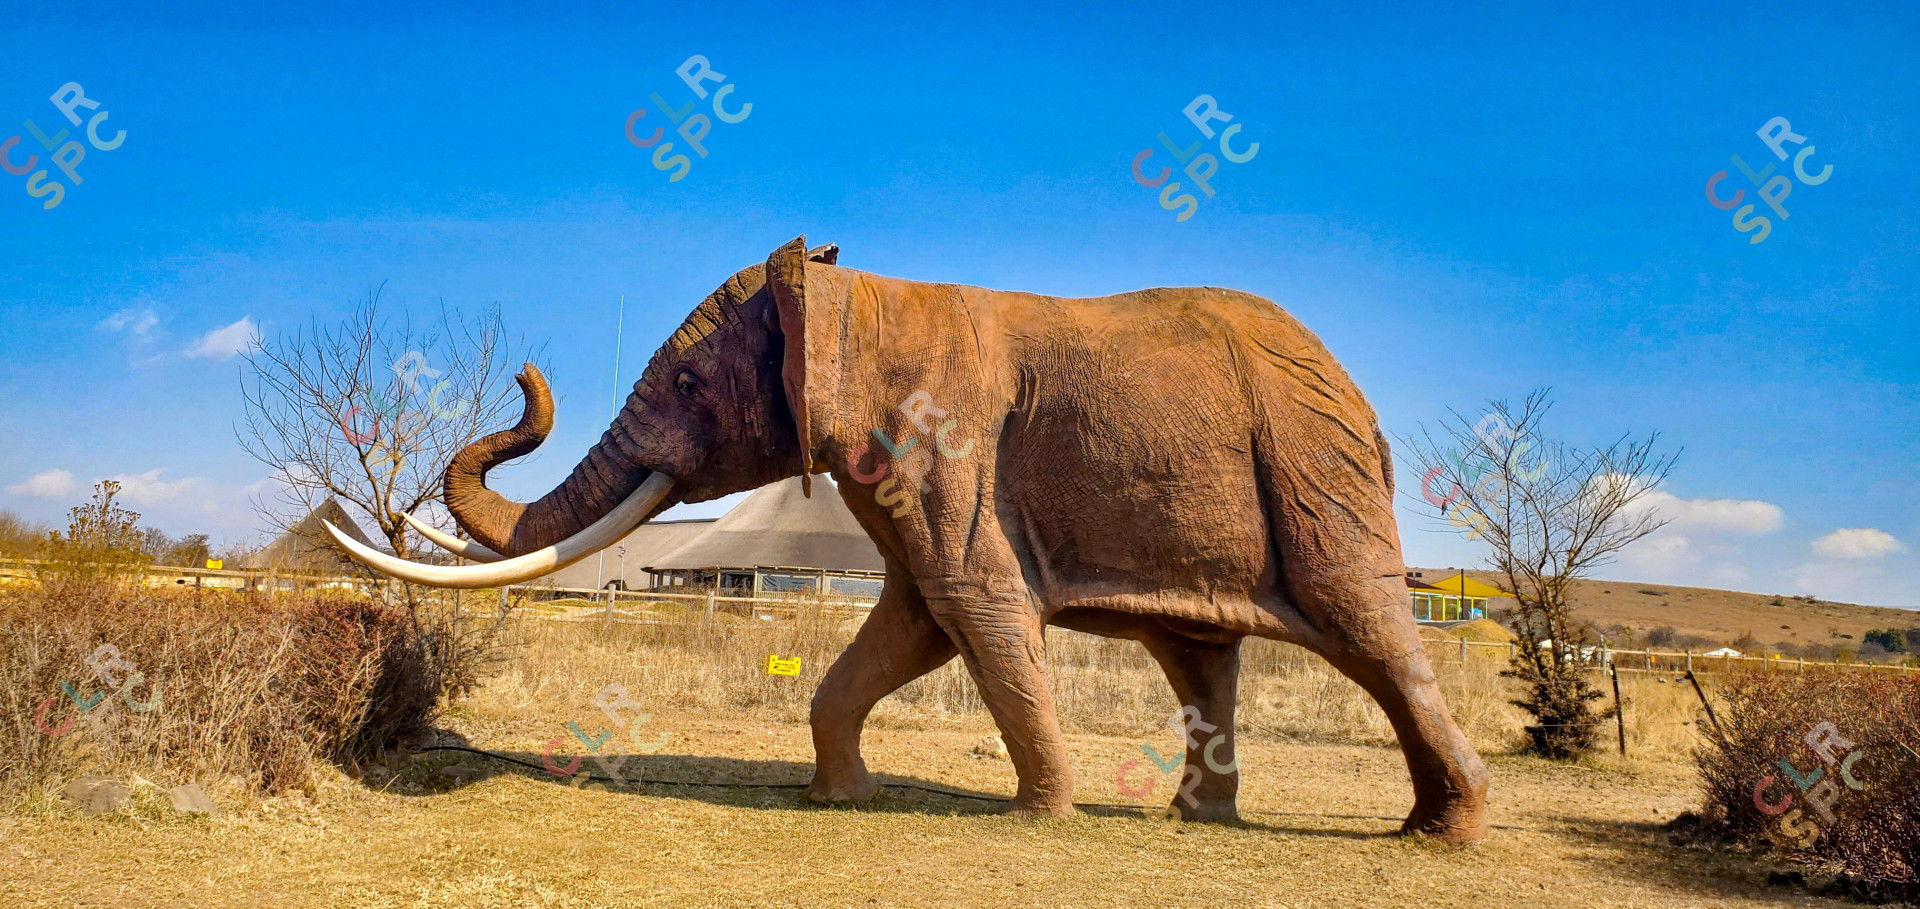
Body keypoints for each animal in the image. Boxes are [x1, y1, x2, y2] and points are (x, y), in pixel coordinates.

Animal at [330, 235, 1492, 844]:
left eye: (690, 382)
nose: (530, 376)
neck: (856, 291)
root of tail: (1364, 407)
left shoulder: (947, 449)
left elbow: (976, 606)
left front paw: (1038, 821)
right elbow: (917, 620)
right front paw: (844, 797)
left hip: (1314, 481)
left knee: (1374, 636)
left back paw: (1442, 833)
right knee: (1200, 654)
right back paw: (1202, 823)